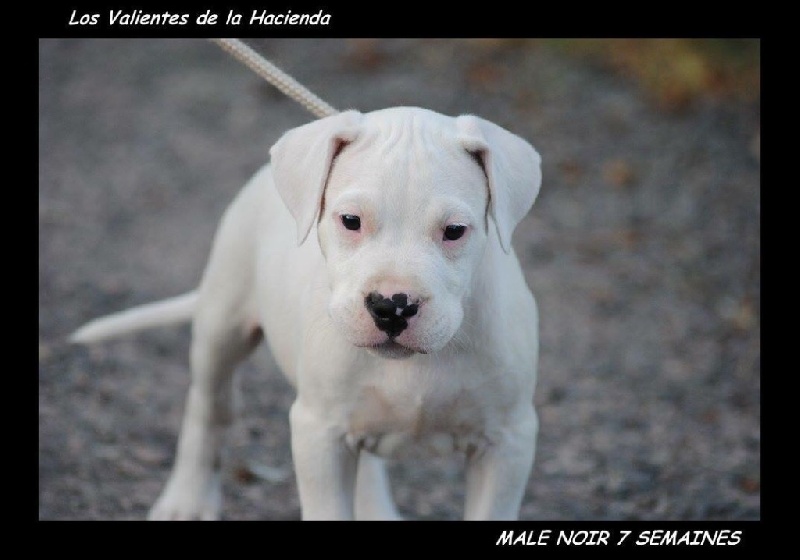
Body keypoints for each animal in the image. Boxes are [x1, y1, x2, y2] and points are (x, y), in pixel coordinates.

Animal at [71, 106, 543, 520]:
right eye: (350, 220)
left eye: (455, 231)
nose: (392, 306)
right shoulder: (319, 433)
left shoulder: (508, 442)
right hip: (221, 325)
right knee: (209, 408)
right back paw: (185, 500)